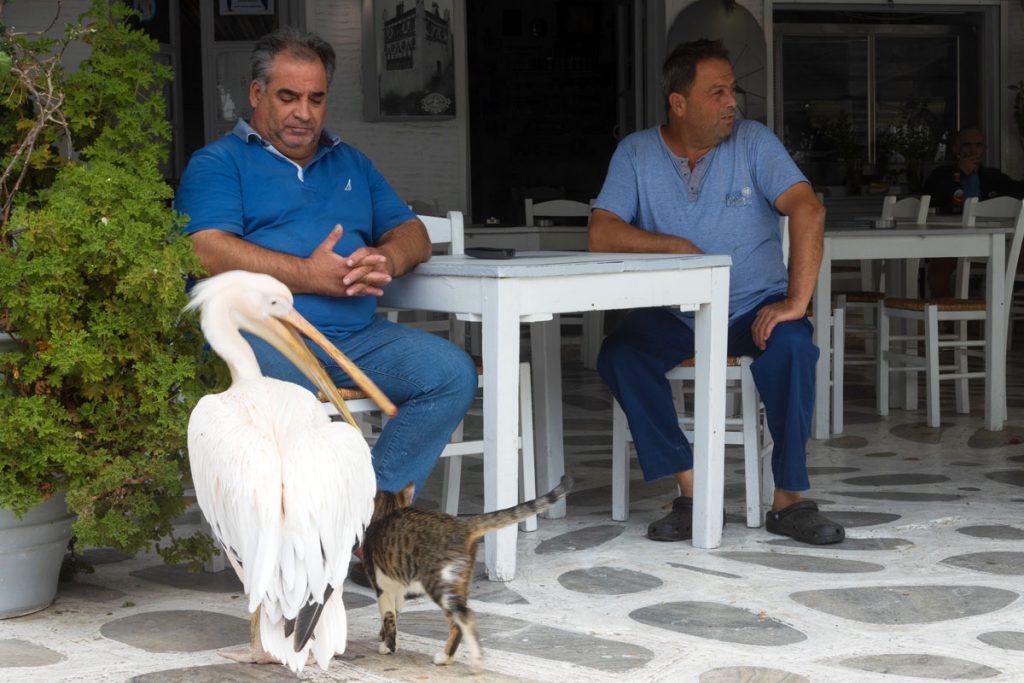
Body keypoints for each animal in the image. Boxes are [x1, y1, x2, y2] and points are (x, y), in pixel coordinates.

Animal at [360, 475, 573, 671]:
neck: (387, 513)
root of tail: (462, 525)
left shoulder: (380, 585)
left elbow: (388, 617)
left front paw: (388, 646)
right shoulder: (398, 589)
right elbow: (395, 614)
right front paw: (389, 640)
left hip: (439, 583)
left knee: (463, 619)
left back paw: (456, 658)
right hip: (459, 581)